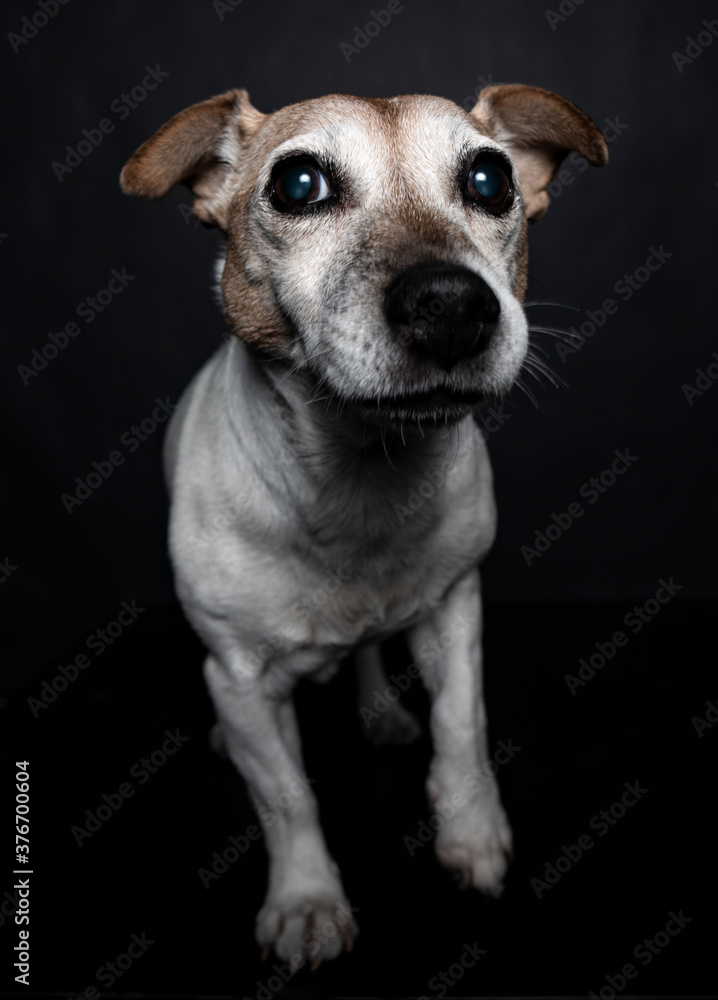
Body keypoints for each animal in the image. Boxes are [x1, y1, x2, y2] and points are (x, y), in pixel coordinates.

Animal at [122, 84, 608, 960]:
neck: (361, 482)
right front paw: (307, 899)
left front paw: (472, 835)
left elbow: (463, 726)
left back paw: (380, 708)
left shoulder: (456, 610)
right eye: (298, 186)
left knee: (371, 654)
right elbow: (285, 795)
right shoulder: (238, 678)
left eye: (490, 181)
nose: (451, 304)